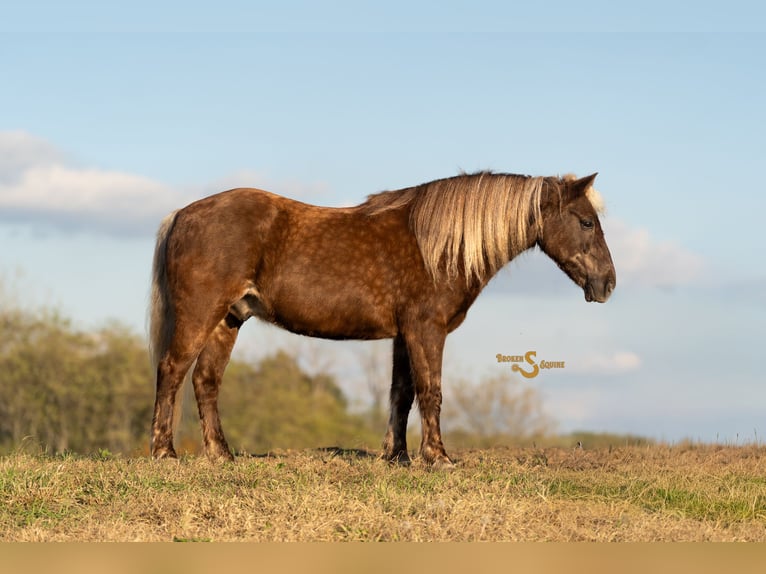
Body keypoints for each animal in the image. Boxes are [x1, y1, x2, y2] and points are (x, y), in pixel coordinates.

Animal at [149, 171, 616, 467]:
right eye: (586, 222)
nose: (608, 283)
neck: (437, 247)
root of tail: (182, 214)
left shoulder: (403, 335)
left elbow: (401, 394)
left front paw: (398, 455)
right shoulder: (426, 330)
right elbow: (431, 391)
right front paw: (438, 458)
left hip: (228, 320)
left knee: (205, 381)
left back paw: (221, 455)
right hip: (200, 315)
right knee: (171, 371)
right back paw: (164, 453)